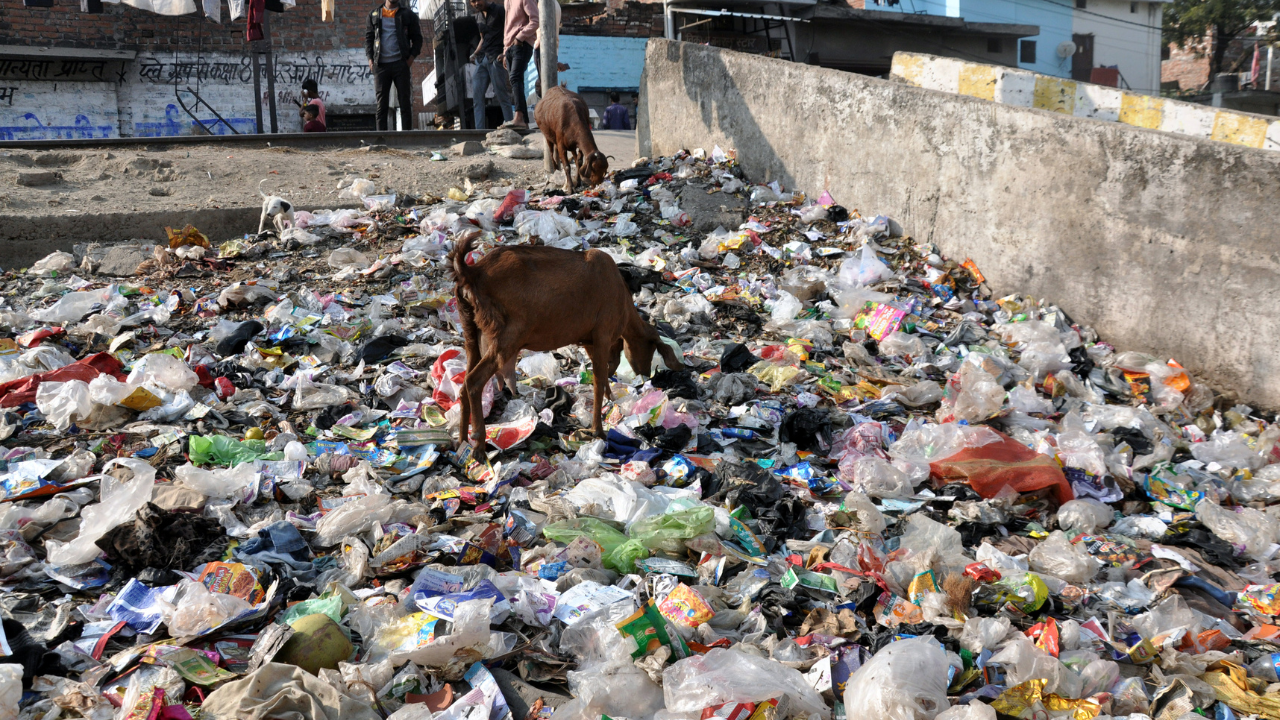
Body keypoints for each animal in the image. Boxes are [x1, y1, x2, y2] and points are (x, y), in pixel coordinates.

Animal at [453, 229, 686, 445]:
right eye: (651, 346)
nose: (645, 372)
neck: (623, 301)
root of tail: (473, 272)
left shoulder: (590, 341)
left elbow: (603, 375)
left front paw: (610, 402)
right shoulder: (602, 335)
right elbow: (599, 379)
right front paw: (598, 430)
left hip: (471, 332)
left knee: (463, 385)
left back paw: (462, 441)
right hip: (506, 337)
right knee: (474, 381)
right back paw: (478, 445)